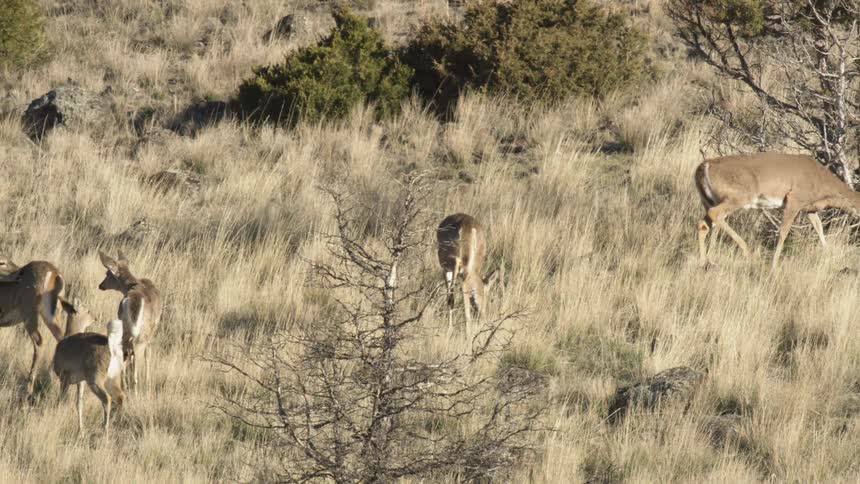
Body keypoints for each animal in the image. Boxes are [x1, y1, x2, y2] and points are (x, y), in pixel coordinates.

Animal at [0, 258, 68, 396]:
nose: (17, 273)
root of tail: (55, 274)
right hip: (52, 314)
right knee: (63, 338)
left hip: (30, 313)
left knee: (39, 342)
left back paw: (29, 388)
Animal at [53, 299, 125, 435]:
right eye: (88, 311)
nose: (95, 317)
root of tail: (112, 346)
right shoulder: (80, 381)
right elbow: (79, 404)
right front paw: (81, 430)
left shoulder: (64, 376)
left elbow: (61, 400)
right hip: (113, 378)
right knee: (121, 397)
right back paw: (115, 423)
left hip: (95, 378)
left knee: (107, 399)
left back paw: (105, 429)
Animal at [97, 251, 162, 392]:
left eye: (107, 274)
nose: (100, 285)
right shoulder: (153, 331)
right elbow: (148, 355)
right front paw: (148, 382)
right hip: (141, 336)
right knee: (136, 366)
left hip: (123, 329)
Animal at [695, 152, 860, 268]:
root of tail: (704, 166)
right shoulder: (794, 199)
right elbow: (783, 232)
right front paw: (774, 264)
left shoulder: (808, 209)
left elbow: (819, 228)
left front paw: (828, 255)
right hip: (738, 196)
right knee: (715, 214)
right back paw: (746, 251)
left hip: (709, 200)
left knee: (704, 223)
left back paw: (705, 261)